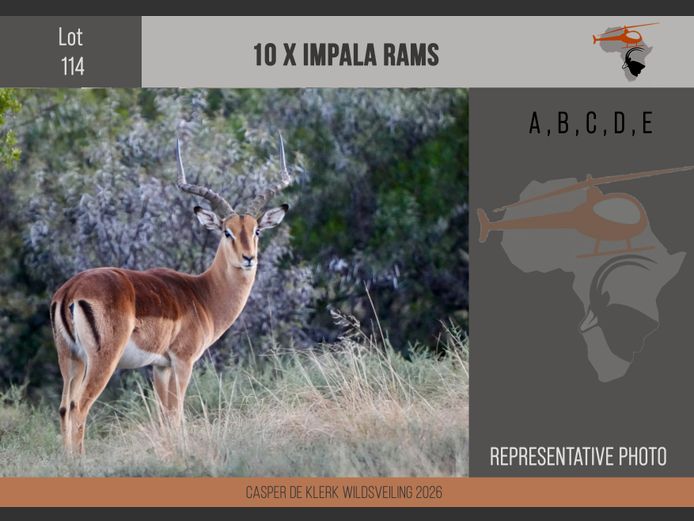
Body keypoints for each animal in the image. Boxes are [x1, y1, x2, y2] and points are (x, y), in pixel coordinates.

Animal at [49, 135, 292, 454]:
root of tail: (70, 291)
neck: (203, 295)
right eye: (226, 231)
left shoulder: (160, 366)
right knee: (80, 406)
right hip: (102, 360)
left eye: (256, 231)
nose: (249, 258)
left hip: (70, 359)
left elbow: (164, 415)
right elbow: (177, 413)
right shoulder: (183, 360)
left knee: (65, 407)